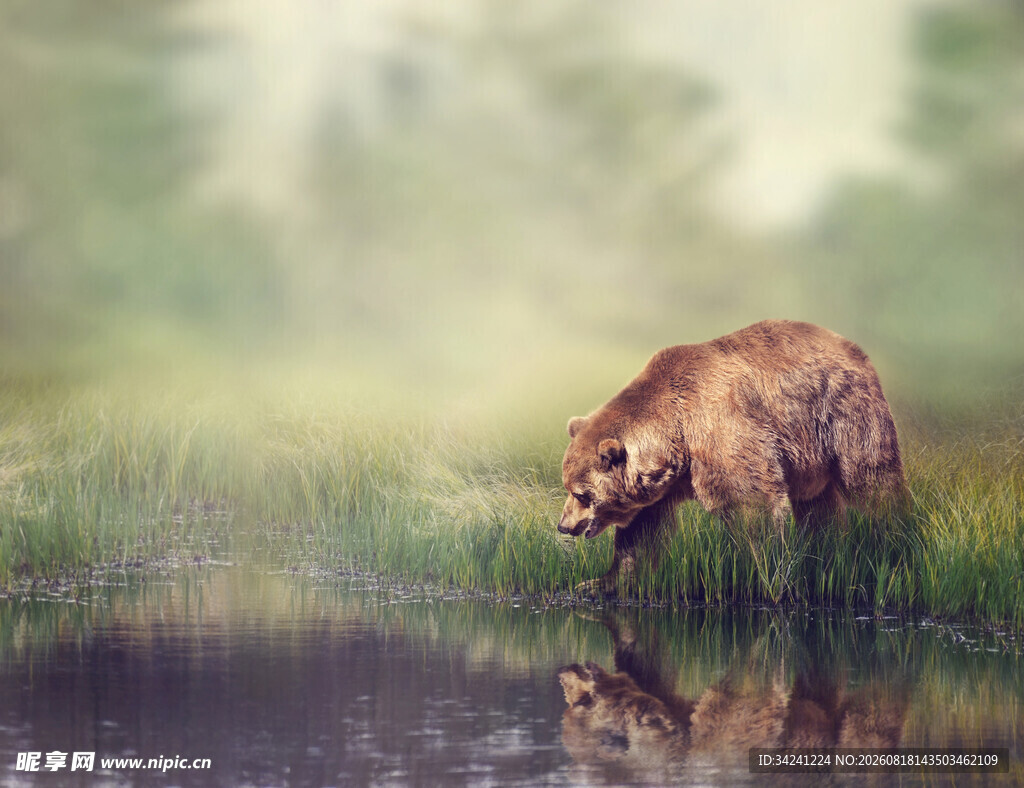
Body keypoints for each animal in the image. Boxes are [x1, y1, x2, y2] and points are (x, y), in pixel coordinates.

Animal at [558, 319, 909, 594]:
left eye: (581, 494)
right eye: (567, 487)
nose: (564, 525)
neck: (676, 438)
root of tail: (851, 346)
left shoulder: (723, 431)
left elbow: (751, 505)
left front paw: (756, 572)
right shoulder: (663, 487)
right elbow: (640, 535)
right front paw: (598, 583)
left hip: (843, 414)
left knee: (872, 483)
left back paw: (890, 540)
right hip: (810, 455)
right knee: (817, 505)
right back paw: (825, 552)